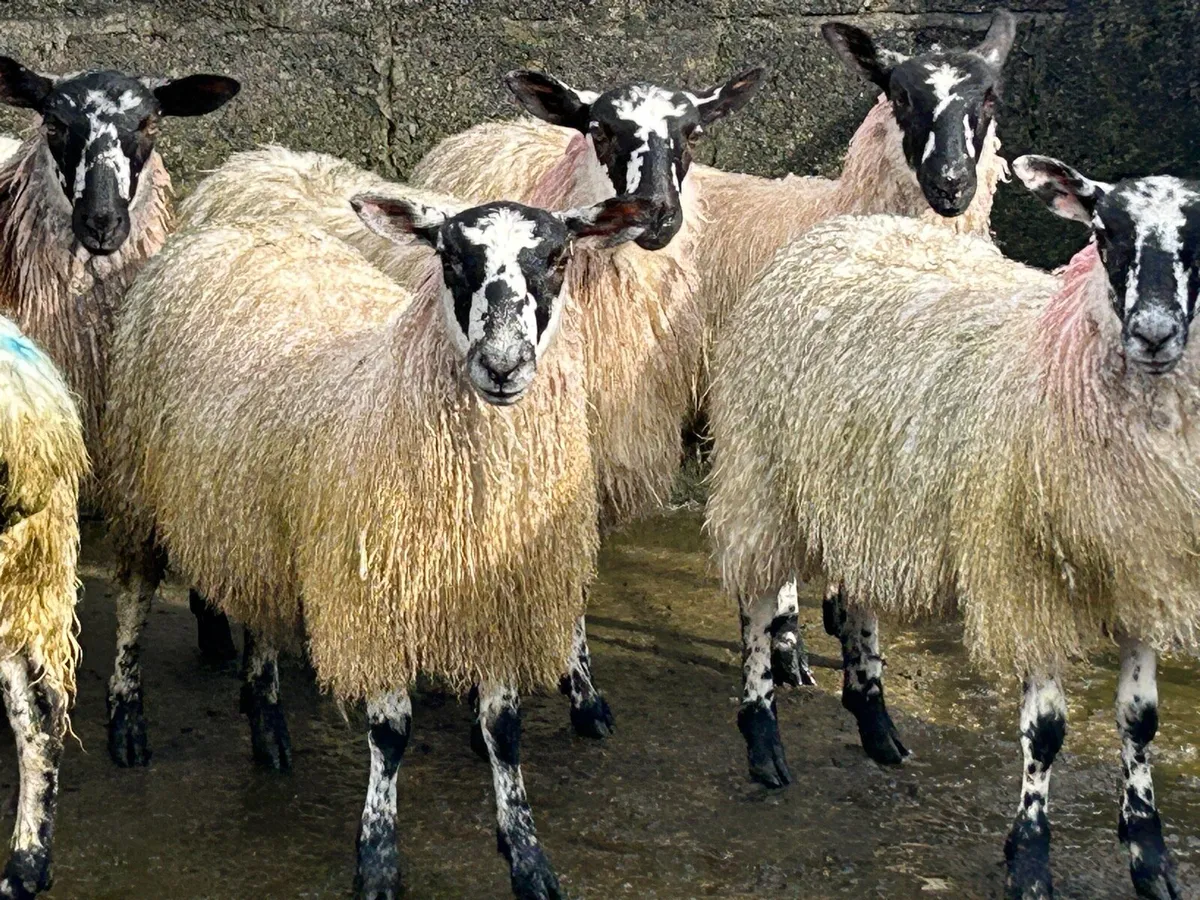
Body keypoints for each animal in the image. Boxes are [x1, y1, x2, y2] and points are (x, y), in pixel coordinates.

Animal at [103, 182, 657, 898]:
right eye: (450, 258)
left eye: (558, 259)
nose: (501, 366)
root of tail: (222, 230)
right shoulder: (373, 597)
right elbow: (391, 734)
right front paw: (378, 856)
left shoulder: (497, 597)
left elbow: (504, 731)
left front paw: (527, 855)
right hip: (136, 480)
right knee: (134, 598)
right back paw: (127, 723)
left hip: (257, 513)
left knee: (258, 607)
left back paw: (268, 725)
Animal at [706, 155, 1199, 899]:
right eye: (1105, 231)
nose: (1153, 332)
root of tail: (847, 224)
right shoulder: (1021, 571)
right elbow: (1046, 731)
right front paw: (1029, 858)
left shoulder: (1141, 565)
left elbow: (1141, 722)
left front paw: (1150, 854)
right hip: (764, 472)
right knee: (760, 598)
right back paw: (763, 741)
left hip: (865, 485)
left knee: (858, 593)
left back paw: (877, 723)